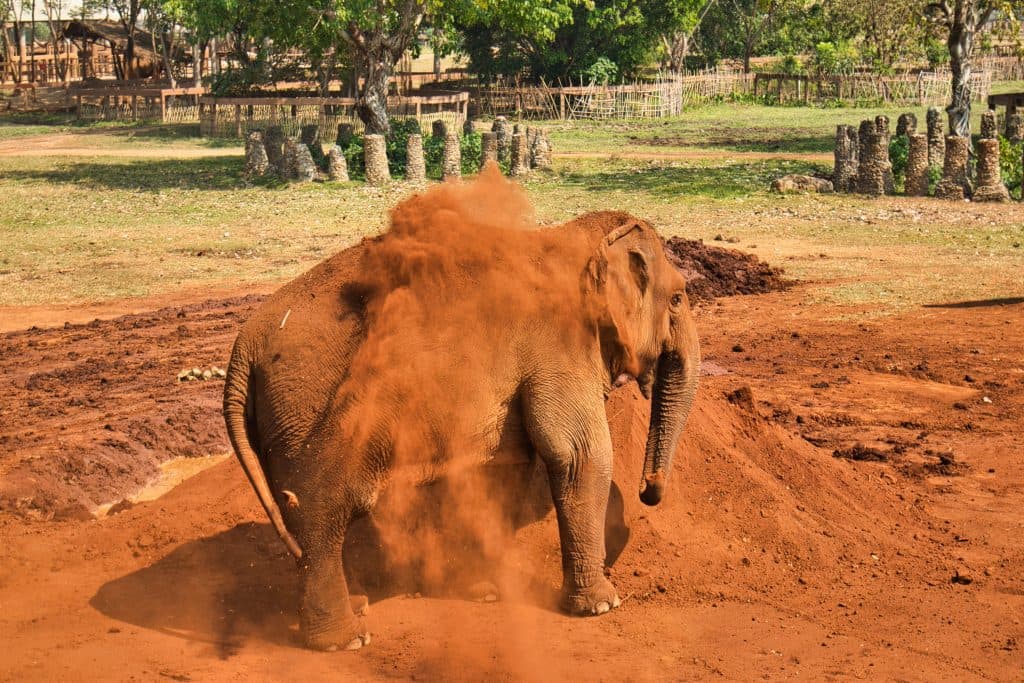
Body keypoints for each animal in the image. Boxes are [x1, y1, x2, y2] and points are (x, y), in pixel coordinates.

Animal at [223, 201, 701, 652]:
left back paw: (359, 605)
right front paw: (601, 605)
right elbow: (579, 454)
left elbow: (503, 468)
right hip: (306, 410)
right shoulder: (560, 346)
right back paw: (345, 640)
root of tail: (242, 347)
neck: (577, 238)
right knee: (323, 506)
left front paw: (483, 590)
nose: (648, 490)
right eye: (678, 298)